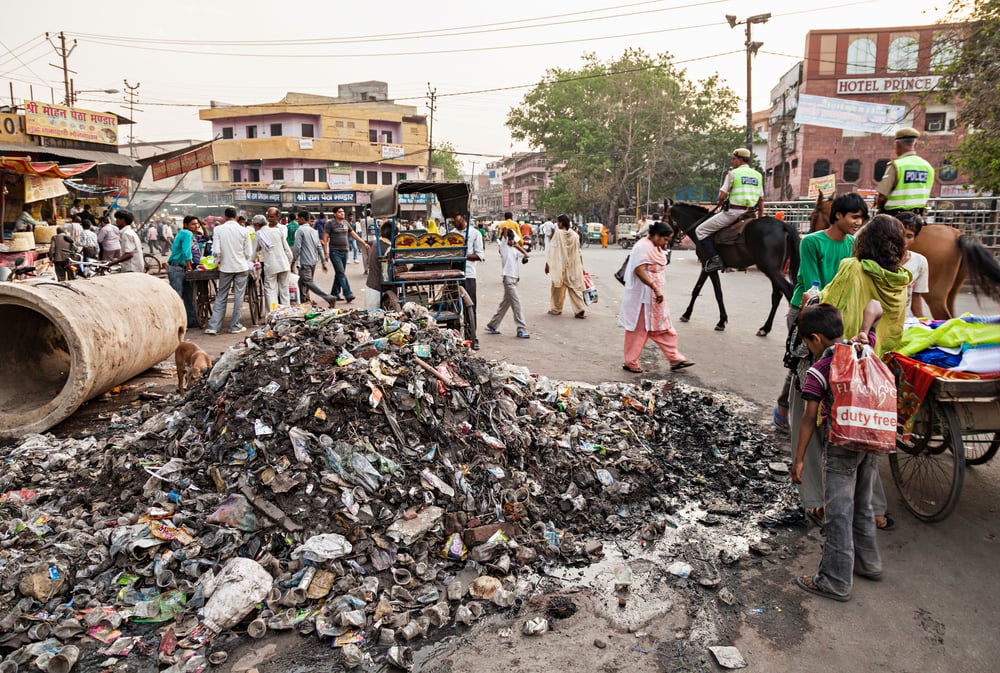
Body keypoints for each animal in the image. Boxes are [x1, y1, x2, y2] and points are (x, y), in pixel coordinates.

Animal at [668, 200, 800, 336]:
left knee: (789, 291)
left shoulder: (708, 266)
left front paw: (721, 321)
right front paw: (688, 314)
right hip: (775, 270)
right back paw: (765, 328)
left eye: (664, 217)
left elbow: (716, 293)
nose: (670, 242)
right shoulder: (706, 267)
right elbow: (697, 290)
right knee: (777, 295)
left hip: (769, 268)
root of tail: (783, 226)